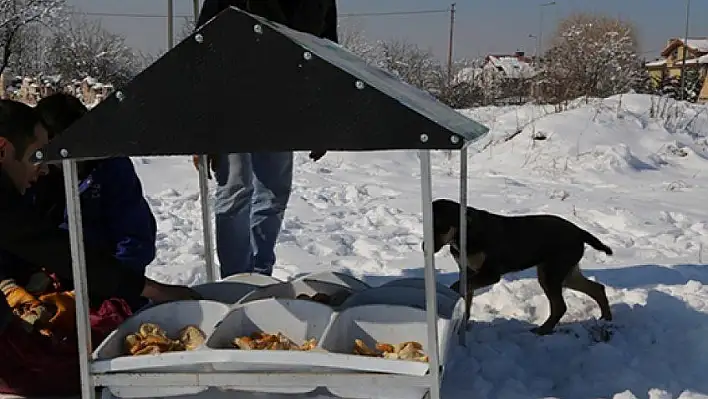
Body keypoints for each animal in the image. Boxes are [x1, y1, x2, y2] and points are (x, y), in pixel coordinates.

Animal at [426, 198, 612, 336]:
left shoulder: (490, 274)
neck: (465, 233)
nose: (424, 247)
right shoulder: (468, 271)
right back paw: (606, 318)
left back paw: (542, 330)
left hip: (551, 272)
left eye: (440, 225)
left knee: (560, 306)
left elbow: (456, 287)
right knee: (597, 288)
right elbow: (466, 298)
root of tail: (580, 231)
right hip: (565, 272)